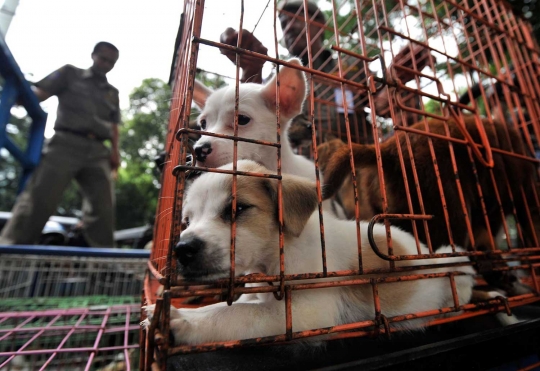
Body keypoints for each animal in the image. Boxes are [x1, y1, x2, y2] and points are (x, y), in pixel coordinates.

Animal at [141, 161, 474, 348]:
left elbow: (237, 313)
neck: (276, 259)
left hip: (454, 267)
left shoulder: (303, 314)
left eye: (237, 209)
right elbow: (234, 304)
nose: (182, 249)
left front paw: (183, 322)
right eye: (186, 221)